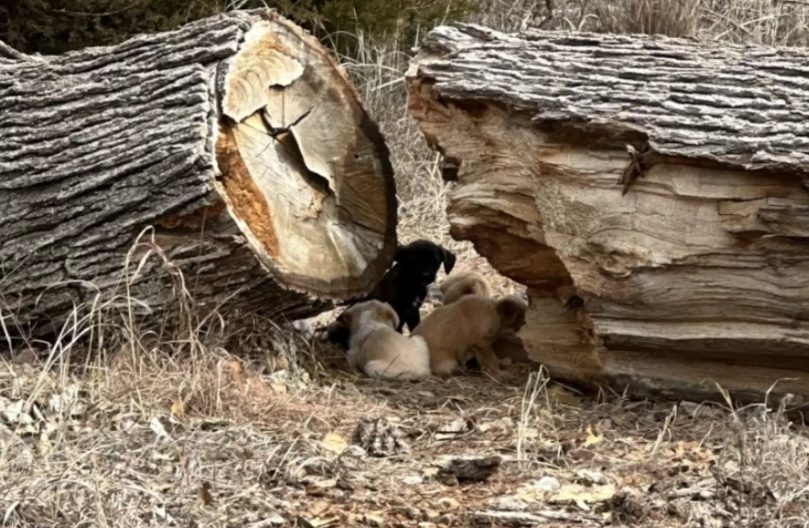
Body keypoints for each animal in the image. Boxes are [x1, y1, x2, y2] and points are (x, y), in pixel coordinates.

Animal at [326, 240, 454, 348]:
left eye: (435, 261)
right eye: (412, 260)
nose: (425, 275)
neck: (411, 284)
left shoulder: (413, 311)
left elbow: (415, 327)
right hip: (337, 326)